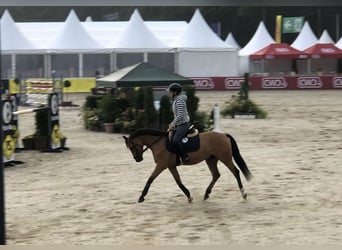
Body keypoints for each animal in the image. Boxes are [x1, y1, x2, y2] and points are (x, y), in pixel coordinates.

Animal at [124, 129, 252, 203]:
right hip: (211, 159)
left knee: (236, 172)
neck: (158, 143)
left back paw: (244, 194)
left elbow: (150, 179)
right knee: (216, 175)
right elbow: (179, 182)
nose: (138, 159)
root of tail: (223, 135)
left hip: (225, 158)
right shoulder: (171, 166)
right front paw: (189, 196)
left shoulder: (161, 165)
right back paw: (206, 194)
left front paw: (141, 197)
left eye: (132, 146)